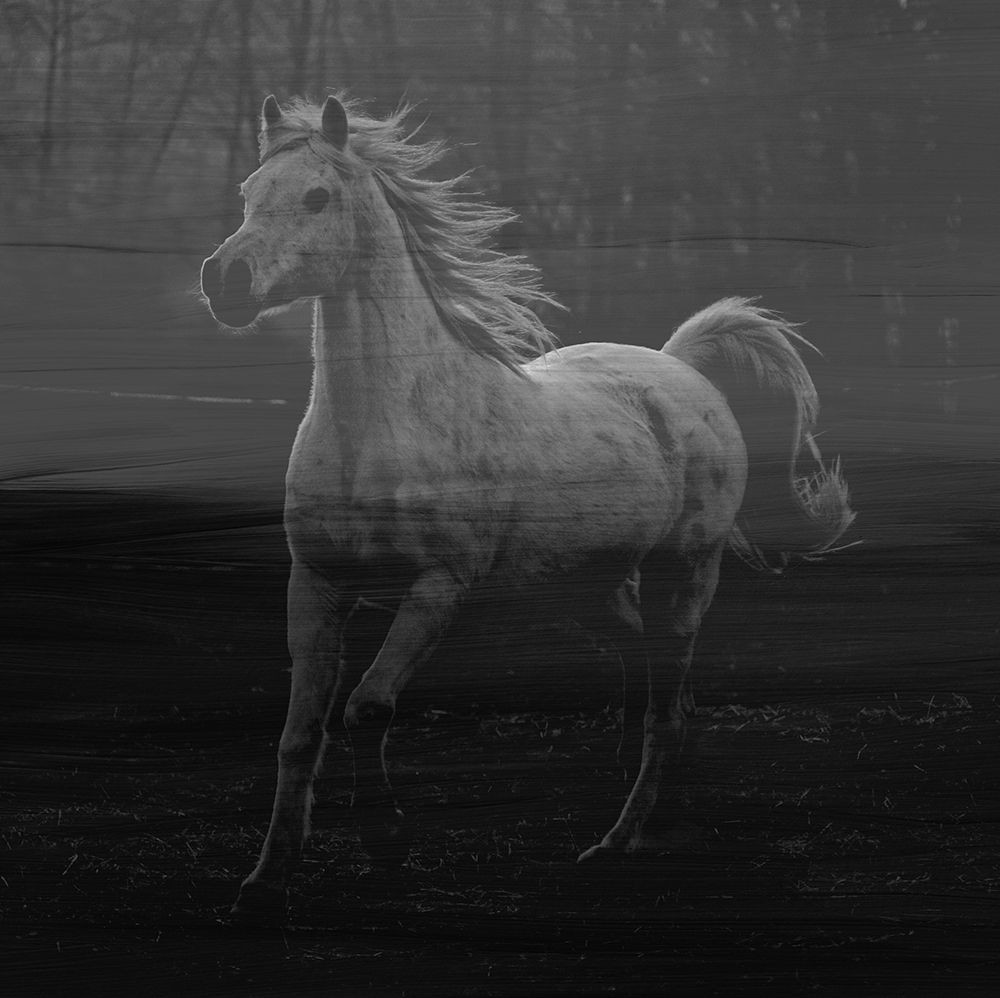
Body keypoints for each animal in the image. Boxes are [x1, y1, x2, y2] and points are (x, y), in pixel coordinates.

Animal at [200, 93, 854, 923]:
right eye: (249, 192)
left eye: (317, 197)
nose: (225, 279)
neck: (380, 425)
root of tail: (679, 367)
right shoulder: (316, 583)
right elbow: (299, 734)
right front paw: (264, 879)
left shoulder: (440, 586)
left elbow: (368, 709)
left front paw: (387, 847)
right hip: (580, 585)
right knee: (647, 674)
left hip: (687, 572)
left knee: (665, 705)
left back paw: (615, 842)